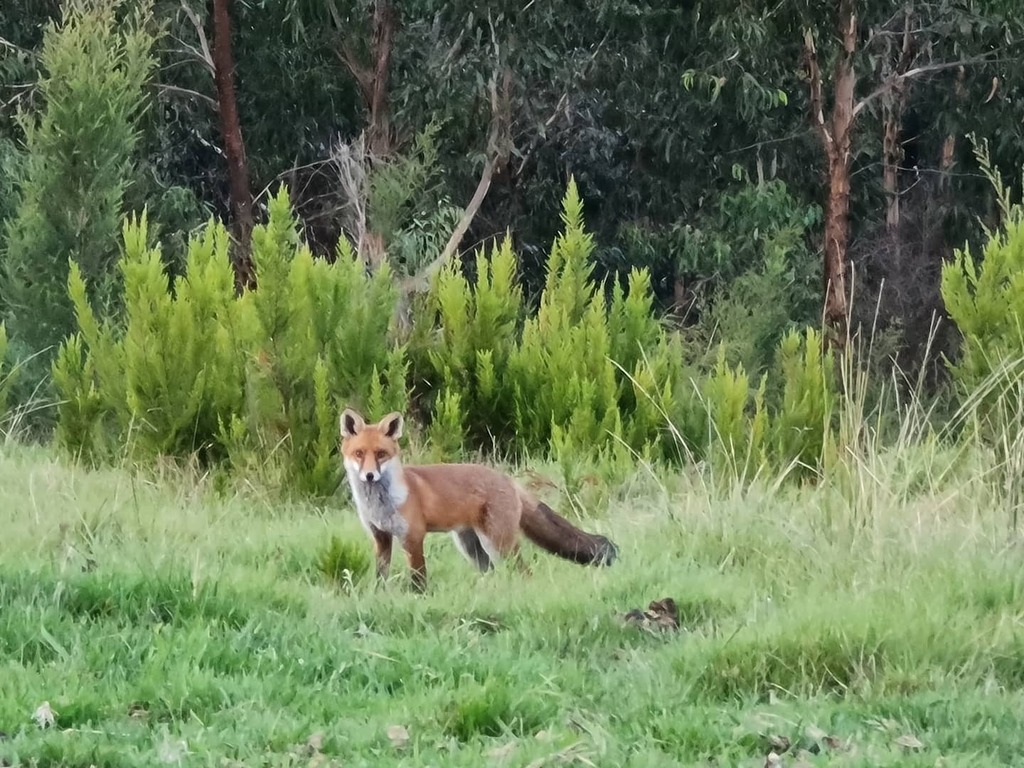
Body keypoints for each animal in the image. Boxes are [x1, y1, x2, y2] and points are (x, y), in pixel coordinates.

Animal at [339, 407, 618, 592]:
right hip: (472, 547)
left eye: (381, 454)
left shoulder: (413, 536)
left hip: (498, 543)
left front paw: (419, 598)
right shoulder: (381, 537)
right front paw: (379, 595)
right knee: (493, 572)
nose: (369, 475)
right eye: (359, 453)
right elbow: (380, 575)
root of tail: (508, 480)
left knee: (524, 571)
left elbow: (419, 578)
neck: (380, 504)